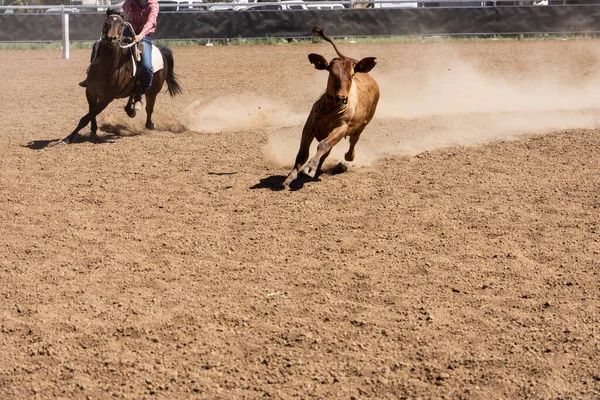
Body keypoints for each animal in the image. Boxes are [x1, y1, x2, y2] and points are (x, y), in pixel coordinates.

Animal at [61, 10, 184, 145]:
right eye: (106, 22)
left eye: (121, 24)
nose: (111, 38)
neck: (106, 67)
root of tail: (161, 51)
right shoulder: (90, 92)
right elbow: (91, 114)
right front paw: (92, 132)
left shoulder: (107, 97)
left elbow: (87, 117)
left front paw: (68, 138)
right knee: (135, 95)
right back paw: (131, 109)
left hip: (153, 91)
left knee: (149, 108)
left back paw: (149, 124)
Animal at [282, 27, 380, 189]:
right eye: (332, 74)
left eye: (351, 75)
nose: (342, 97)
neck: (330, 108)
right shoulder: (309, 125)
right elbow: (303, 153)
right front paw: (290, 177)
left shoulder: (341, 128)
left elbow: (323, 145)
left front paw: (309, 168)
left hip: (363, 124)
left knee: (353, 140)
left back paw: (347, 158)